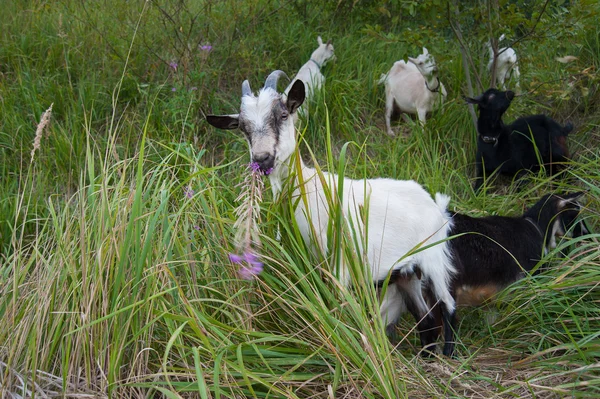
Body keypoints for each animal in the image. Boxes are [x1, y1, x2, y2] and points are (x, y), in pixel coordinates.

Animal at [209, 71, 458, 356]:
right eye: (242, 127)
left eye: (283, 115)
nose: (262, 159)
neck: (308, 191)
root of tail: (435, 204)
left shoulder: (340, 265)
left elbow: (336, 308)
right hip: (406, 272)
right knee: (425, 318)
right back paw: (427, 356)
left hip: (433, 258)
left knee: (448, 305)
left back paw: (449, 354)